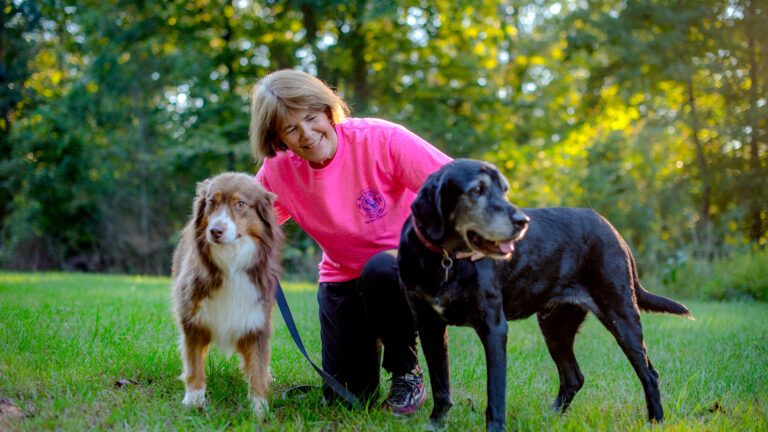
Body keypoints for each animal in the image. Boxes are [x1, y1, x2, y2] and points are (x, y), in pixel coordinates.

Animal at [171, 173, 282, 418]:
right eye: (212, 202)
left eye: (240, 204)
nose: (215, 231)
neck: (231, 262)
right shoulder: (193, 320)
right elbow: (194, 363)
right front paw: (194, 400)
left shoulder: (257, 322)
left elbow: (257, 368)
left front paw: (260, 410)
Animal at [400, 159, 692, 432]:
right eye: (477, 190)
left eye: (505, 190)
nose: (522, 222)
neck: (445, 259)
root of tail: (612, 229)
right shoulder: (429, 325)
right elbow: (441, 382)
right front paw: (436, 423)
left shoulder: (493, 327)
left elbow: (495, 393)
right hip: (556, 325)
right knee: (573, 377)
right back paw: (551, 416)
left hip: (620, 315)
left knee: (649, 374)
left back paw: (655, 420)